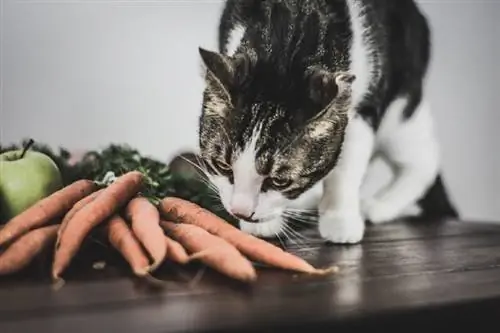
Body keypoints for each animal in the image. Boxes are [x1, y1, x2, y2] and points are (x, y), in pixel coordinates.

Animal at [194, 0, 458, 244]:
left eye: (280, 181)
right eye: (222, 166)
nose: (240, 211)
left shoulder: (361, 109)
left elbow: (345, 169)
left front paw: (340, 219)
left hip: (400, 108)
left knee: (424, 160)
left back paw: (379, 205)